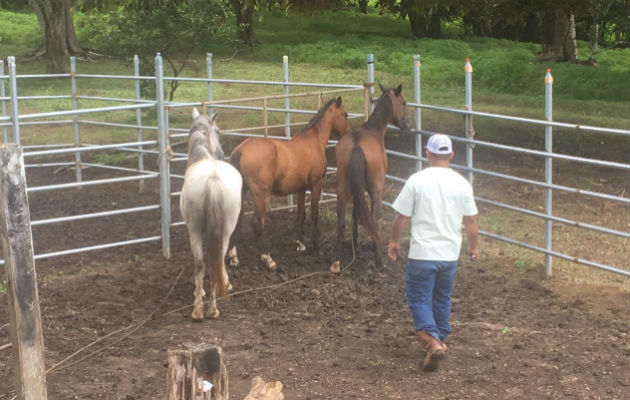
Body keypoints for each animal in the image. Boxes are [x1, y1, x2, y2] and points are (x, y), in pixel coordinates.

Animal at [183, 108, 244, 320]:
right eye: (218, 131)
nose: (222, 153)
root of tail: (212, 180)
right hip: (222, 230)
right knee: (213, 260)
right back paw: (209, 309)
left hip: (195, 230)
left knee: (203, 263)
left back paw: (201, 309)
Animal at [232, 96, 350, 268]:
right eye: (345, 114)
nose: (348, 134)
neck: (313, 140)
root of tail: (241, 150)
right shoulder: (316, 184)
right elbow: (314, 213)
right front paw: (316, 246)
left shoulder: (301, 188)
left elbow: (301, 214)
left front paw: (300, 244)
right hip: (262, 195)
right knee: (258, 223)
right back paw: (268, 258)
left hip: (242, 192)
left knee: (237, 221)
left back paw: (234, 258)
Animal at [330, 84, 414, 272]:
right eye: (404, 103)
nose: (408, 125)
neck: (373, 131)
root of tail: (356, 145)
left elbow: (355, 214)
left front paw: (354, 243)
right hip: (376, 190)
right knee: (374, 221)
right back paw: (379, 260)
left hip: (342, 189)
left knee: (341, 221)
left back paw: (337, 261)